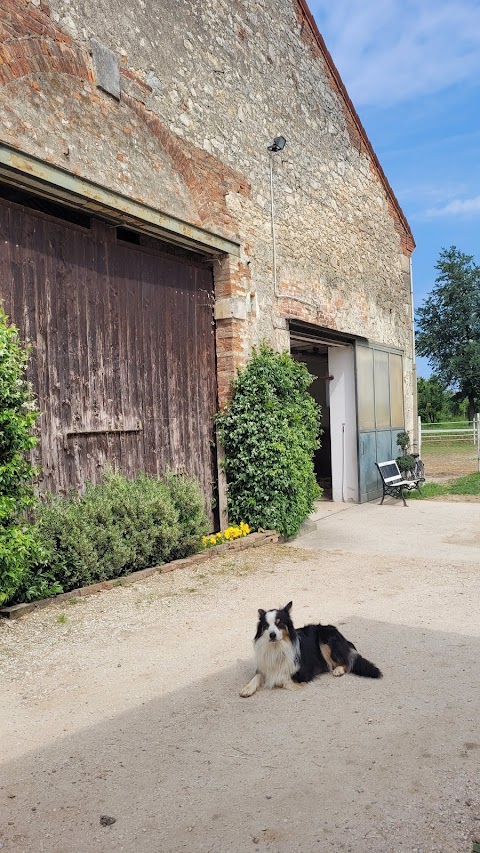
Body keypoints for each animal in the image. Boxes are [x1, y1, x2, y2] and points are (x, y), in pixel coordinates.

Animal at [240, 604, 382, 696]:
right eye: (266, 625)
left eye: (280, 623)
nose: (272, 635)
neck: (277, 647)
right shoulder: (264, 666)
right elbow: (257, 676)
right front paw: (247, 688)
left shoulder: (303, 673)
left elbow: (282, 679)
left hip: (325, 640)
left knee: (348, 660)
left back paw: (338, 670)